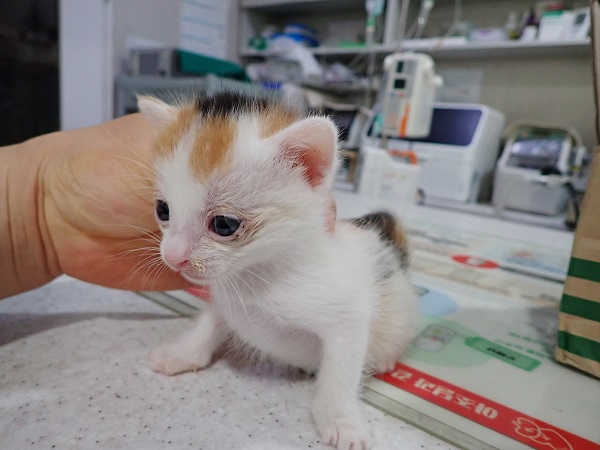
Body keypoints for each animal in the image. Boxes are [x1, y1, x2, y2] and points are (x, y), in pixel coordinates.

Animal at [141, 91, 414, 450]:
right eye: (163, 210)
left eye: (224, 224)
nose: (173, 257)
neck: (261, 273)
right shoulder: (226, 300)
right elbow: (208, 324)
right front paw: (181, 354)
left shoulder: (348, 319)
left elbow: (339, 376)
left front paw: (341, 421)